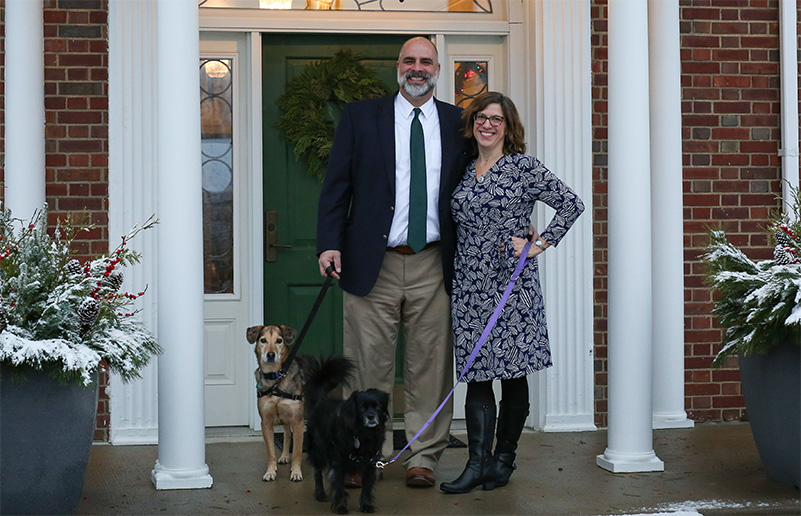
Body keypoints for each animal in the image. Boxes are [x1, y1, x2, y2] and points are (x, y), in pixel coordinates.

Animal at [247, 324, 312, 482]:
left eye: (279, 340)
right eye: (263, 340)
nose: (271, 355)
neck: (275, 377)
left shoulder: (298, 421)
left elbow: (297, 452)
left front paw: (296, 473)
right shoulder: (266, 422)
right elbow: (271, 452)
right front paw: (270, 472)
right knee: (287, 434)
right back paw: (284, 456)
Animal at [304, 356, 390, 512]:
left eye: (378, 407)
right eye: (361, 408)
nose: (371, 417)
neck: (364, 435)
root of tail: (322, 401)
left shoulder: (370, 465)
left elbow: (366, 488)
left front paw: (366, 506)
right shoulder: (338, 465)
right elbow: (339, 488)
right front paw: (341, 507)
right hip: (318, 451)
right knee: (317, 473)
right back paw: (320, 494)